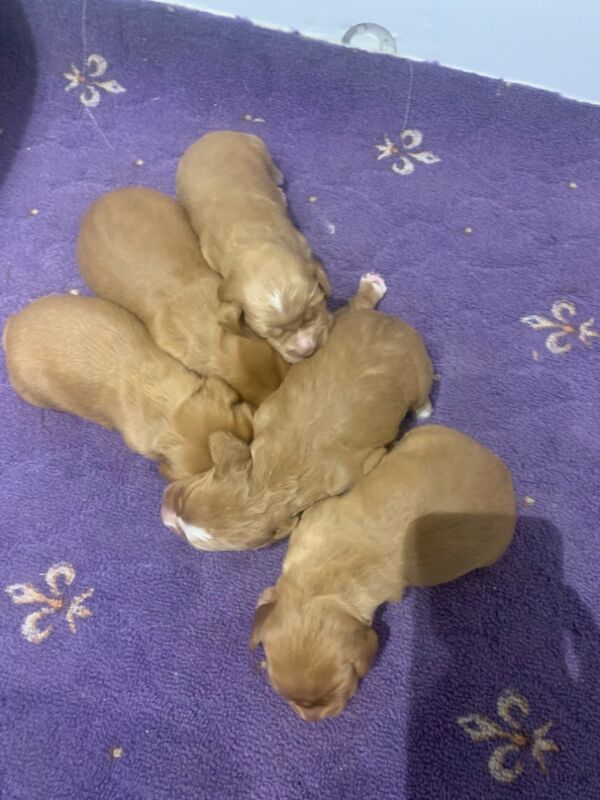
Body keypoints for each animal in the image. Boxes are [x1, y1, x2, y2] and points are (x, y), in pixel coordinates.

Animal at [159, 276, 432, 552]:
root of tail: (390, 327)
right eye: (183, 498)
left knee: (420, 394)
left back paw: (424, 410)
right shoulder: (265, 415)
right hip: (333, 329)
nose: (164, 512)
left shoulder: (358, 468)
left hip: (418, 369)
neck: (271, 480)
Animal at [176, 131, 332, 362]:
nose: (307, 350)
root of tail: (209, 135)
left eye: (311, 314)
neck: (254, 243)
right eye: (268, 335)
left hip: (257, 146)